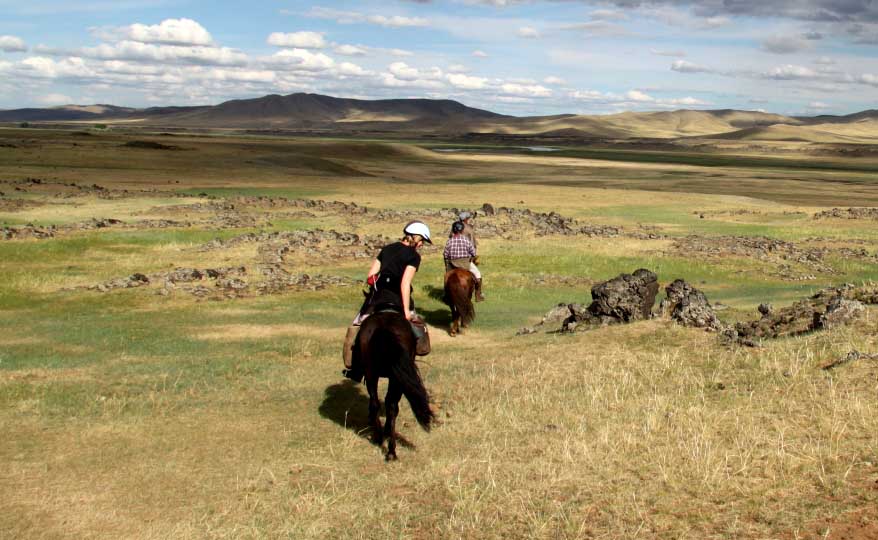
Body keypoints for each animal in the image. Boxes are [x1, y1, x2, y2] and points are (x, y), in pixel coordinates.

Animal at [356, 308, 434, 460]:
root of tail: (384, 327)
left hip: (372, 373)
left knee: (377, 403)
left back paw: (381, 439)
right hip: (392, 378)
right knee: (389, 406)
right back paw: (390, 448)